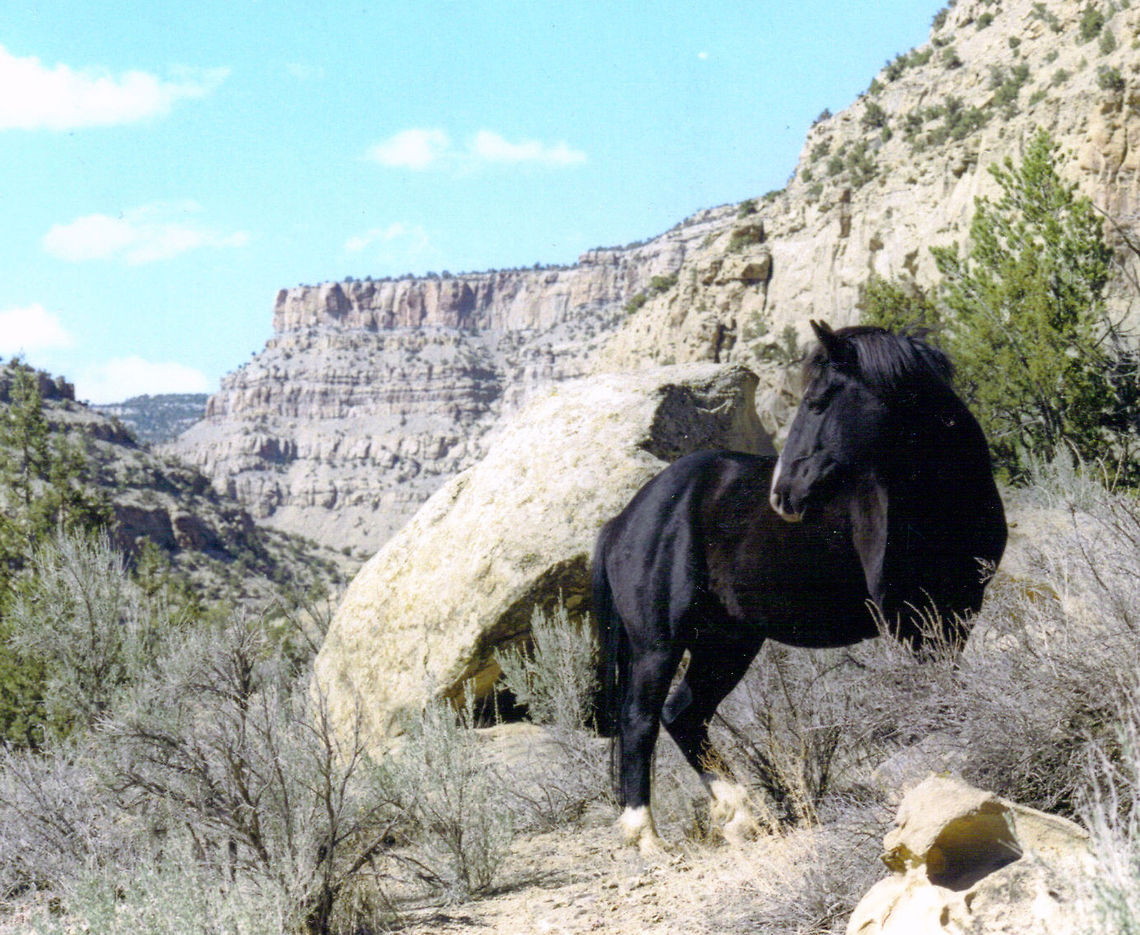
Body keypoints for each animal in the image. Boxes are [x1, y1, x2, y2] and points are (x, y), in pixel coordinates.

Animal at [592, 321, 1007, 853]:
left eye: (818, 401)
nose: (782, 494)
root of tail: (624, 520)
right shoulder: (908, 617)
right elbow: (929, 690)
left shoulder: (959, 609)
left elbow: (947, 683)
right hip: (657, 646)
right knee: (640, 720)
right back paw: (645, 836)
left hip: (727, 642)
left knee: (683, 714)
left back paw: (743, 816)